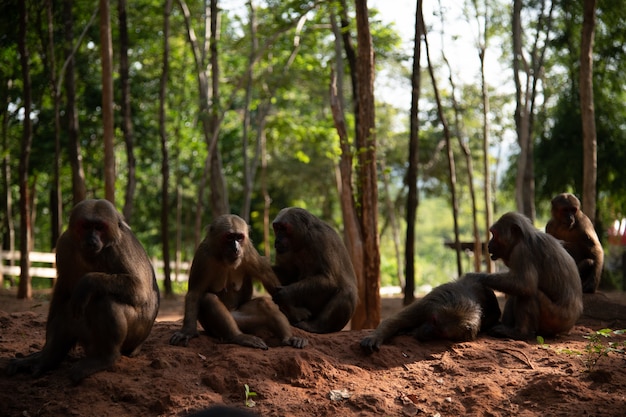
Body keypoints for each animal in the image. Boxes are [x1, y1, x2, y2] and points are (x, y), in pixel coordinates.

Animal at [6, 198, 160, 384]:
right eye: (86, 226)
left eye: (99, 227)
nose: (92, 240)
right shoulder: (64, 243)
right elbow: (63, 289)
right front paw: (45, 353)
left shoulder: (119, 248)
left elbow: (141, 290)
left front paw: (87, 282)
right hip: (87, 339)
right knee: (67, 308)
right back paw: (50, 358)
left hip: (135, 336)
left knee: (103, 299)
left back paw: (106, 358)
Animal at [169, 214, 306, 348]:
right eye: (229, 237)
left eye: (239, 237)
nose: (235, 248)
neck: (222, 255)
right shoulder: (203, 255)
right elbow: (195, 292)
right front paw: (188, 331)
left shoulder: (248, 251)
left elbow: (267, 277)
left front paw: (291, 309)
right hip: (215, 328)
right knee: (209, 299)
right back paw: (238, 336)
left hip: (246, 323)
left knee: (264, 303)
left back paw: (287, 338)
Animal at [358, 274, 500, 352]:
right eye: (434, 320)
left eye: (441, 332)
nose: (427, 332)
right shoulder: (428, 305)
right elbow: (396, 320)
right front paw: (375, 337)